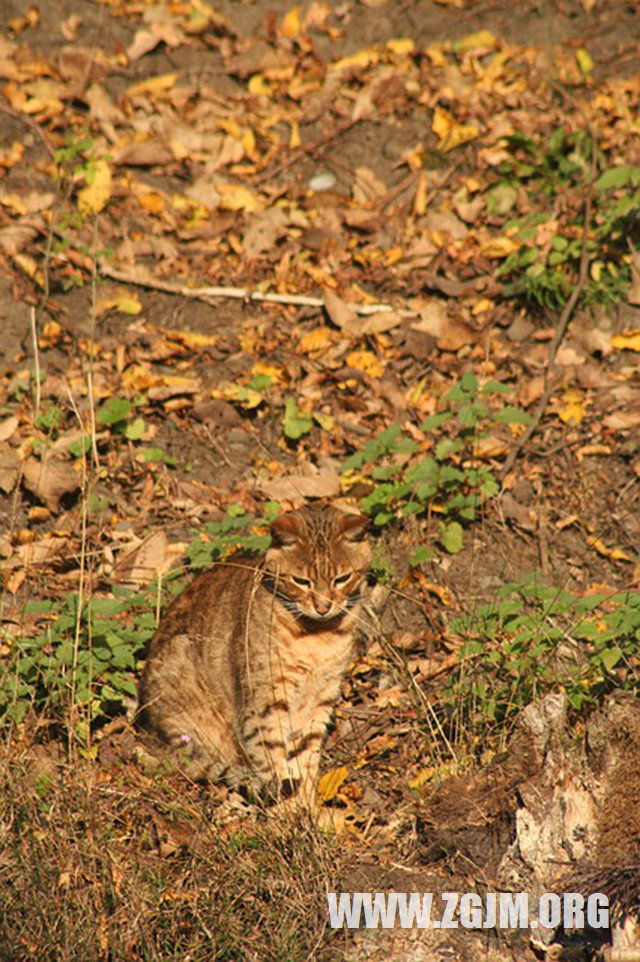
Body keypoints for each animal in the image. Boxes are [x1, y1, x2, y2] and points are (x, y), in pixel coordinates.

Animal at [140, 502, 370, 804]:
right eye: (301, 581)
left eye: (342, 579)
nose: (323, 607)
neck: (318, 637)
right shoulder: (265, 704)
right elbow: (273, 761)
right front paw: (287, 812)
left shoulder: (320, 698)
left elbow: (305, 758)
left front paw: (306, 807)